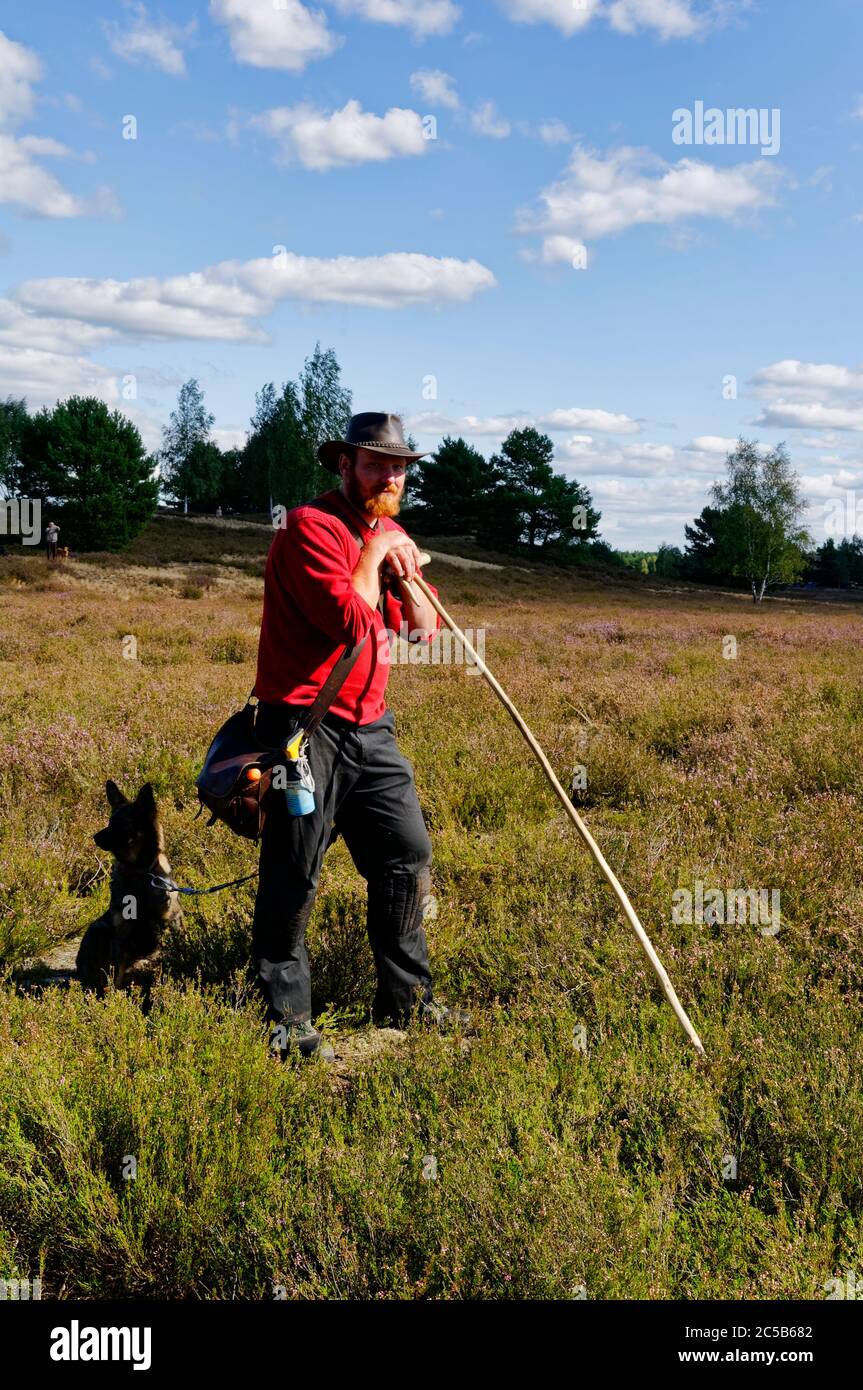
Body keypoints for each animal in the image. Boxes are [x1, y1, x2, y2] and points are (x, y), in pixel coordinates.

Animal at [75, 778, 182, 995]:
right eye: (109, 822)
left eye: (124, 824)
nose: (95, 838)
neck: (139, 873)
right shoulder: (121, 934)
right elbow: (116, 976)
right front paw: (114, 999)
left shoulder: (169, 923)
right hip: (98, 929)